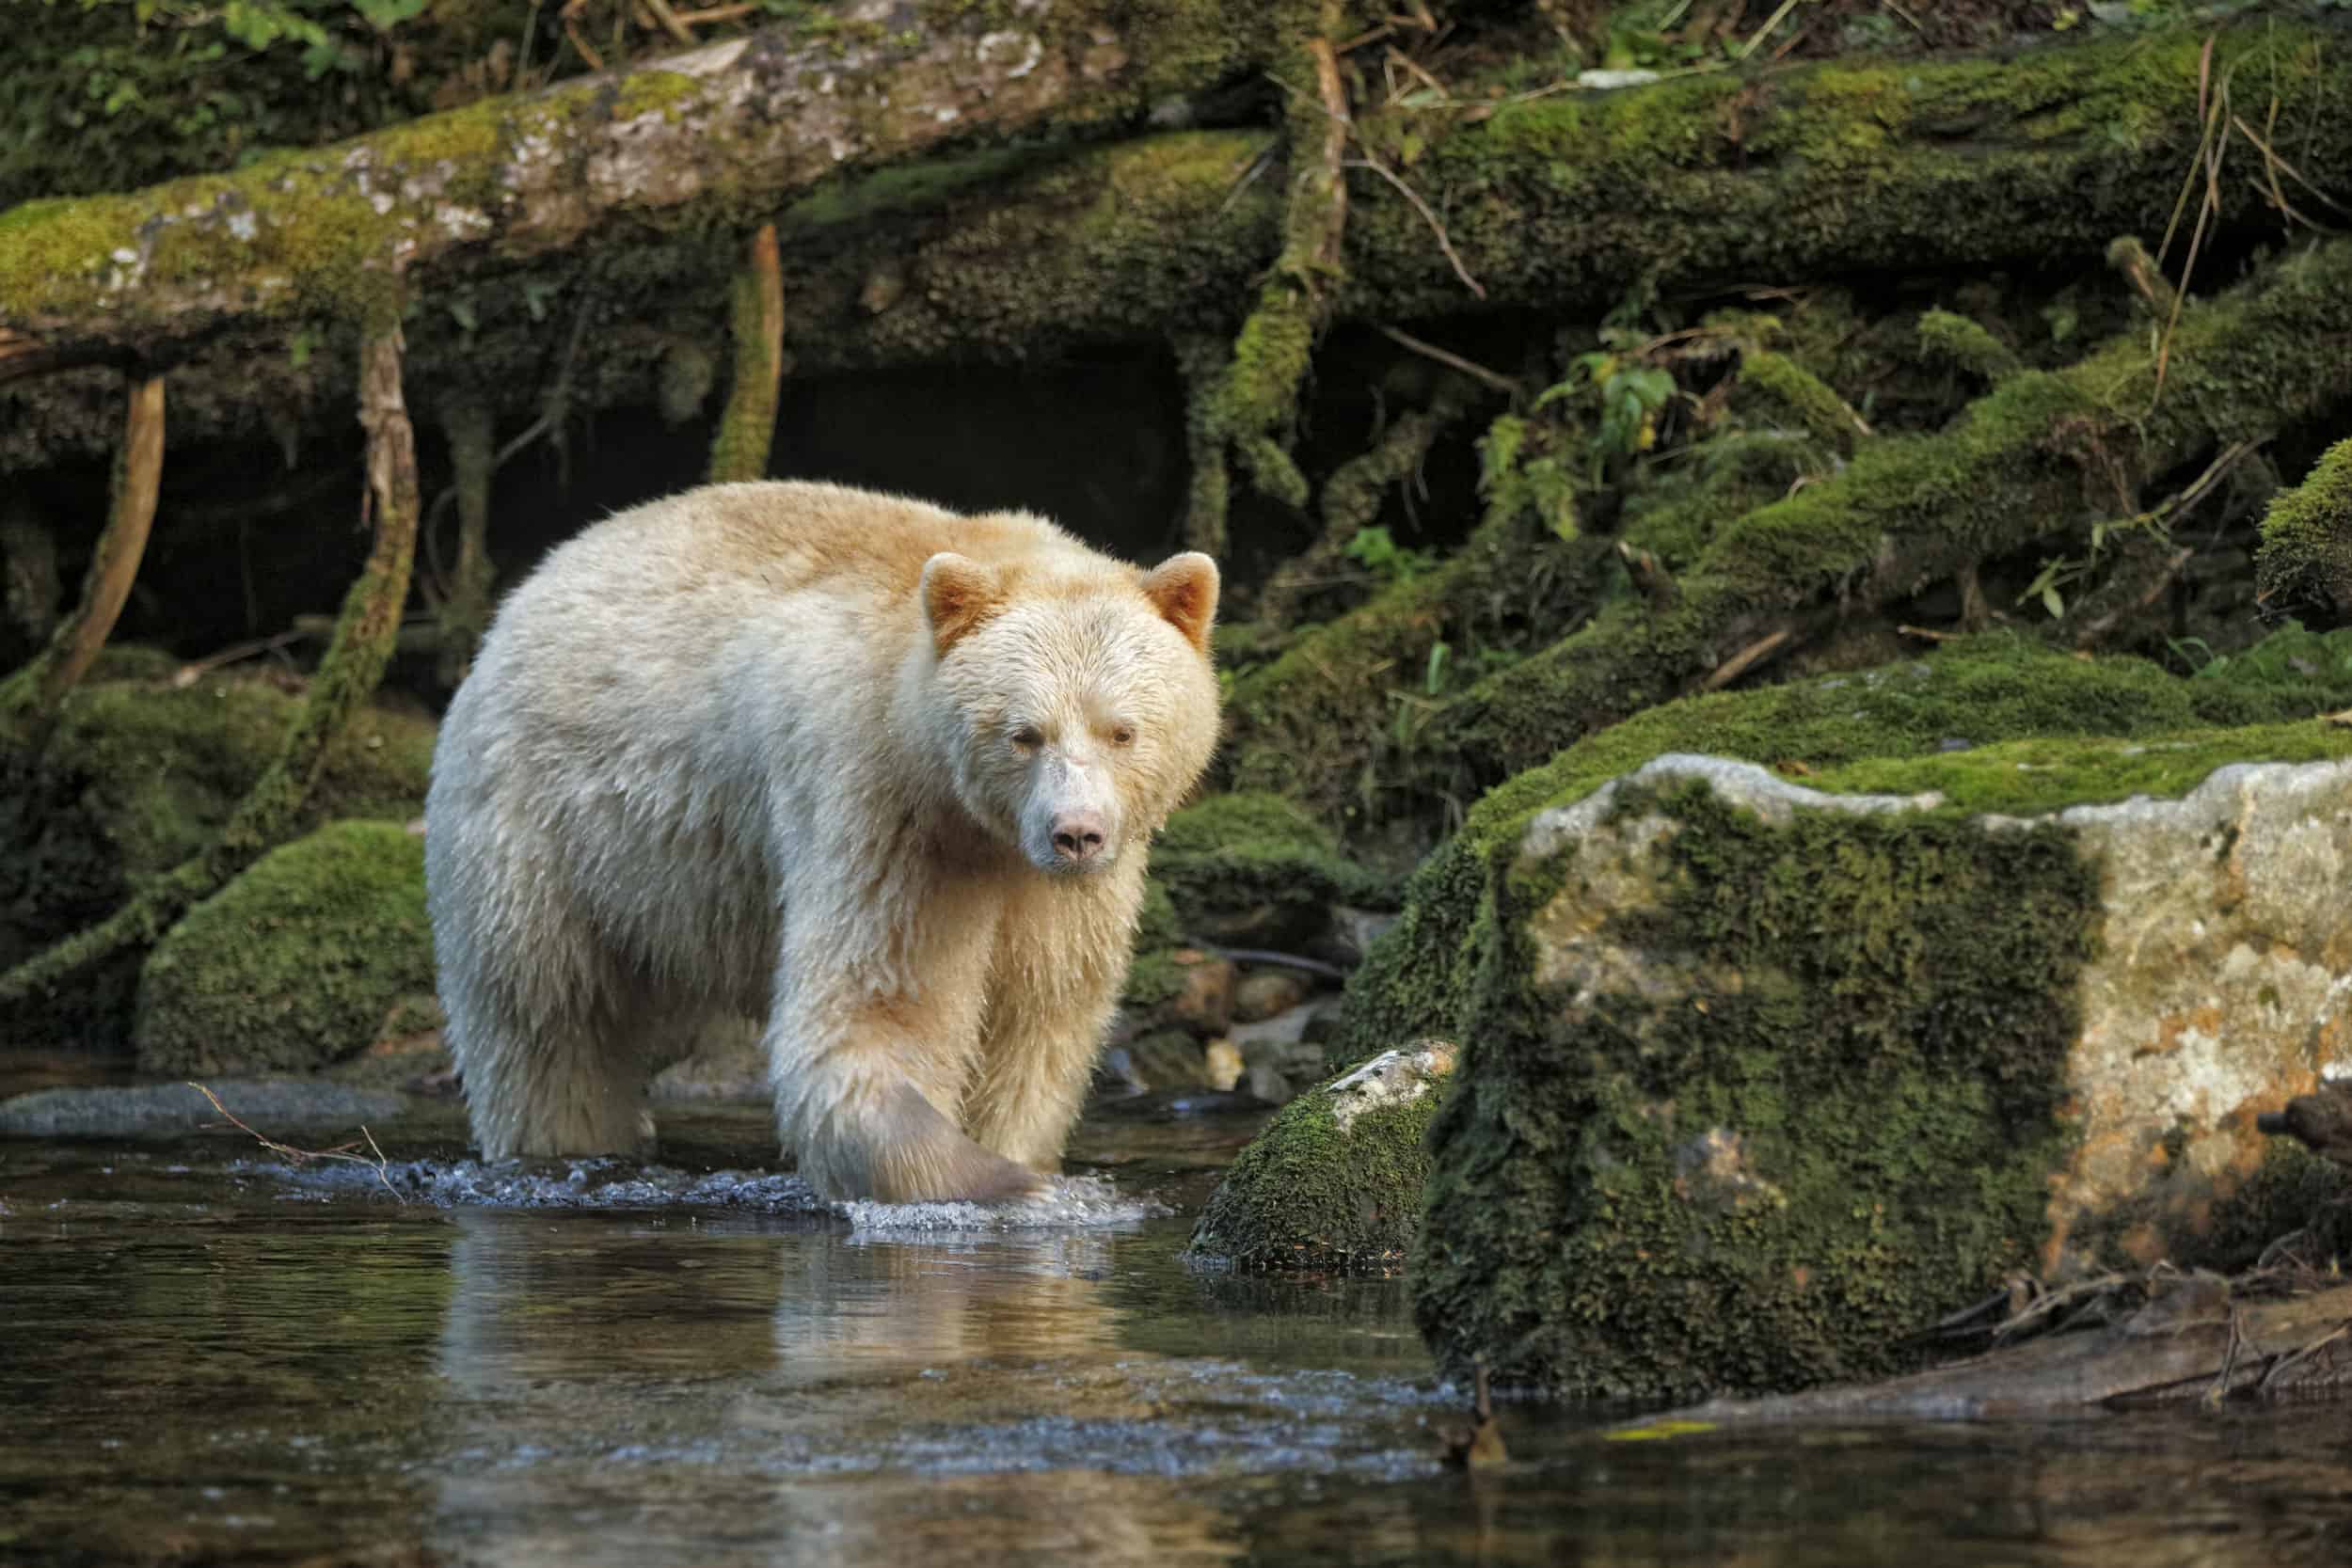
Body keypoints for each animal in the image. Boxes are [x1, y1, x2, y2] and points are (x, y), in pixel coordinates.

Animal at [425, 479, 1223, 1203]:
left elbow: (1039, 1019)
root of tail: (524, 593)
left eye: (1122, 730)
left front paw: (1021, 1157)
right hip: (541, 826)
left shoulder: (1054, 895)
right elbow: (876, 1007)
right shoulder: (885, 812)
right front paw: (1000, 1183)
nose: (1075, 834)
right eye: (1024, 733)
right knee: (544, 1021)